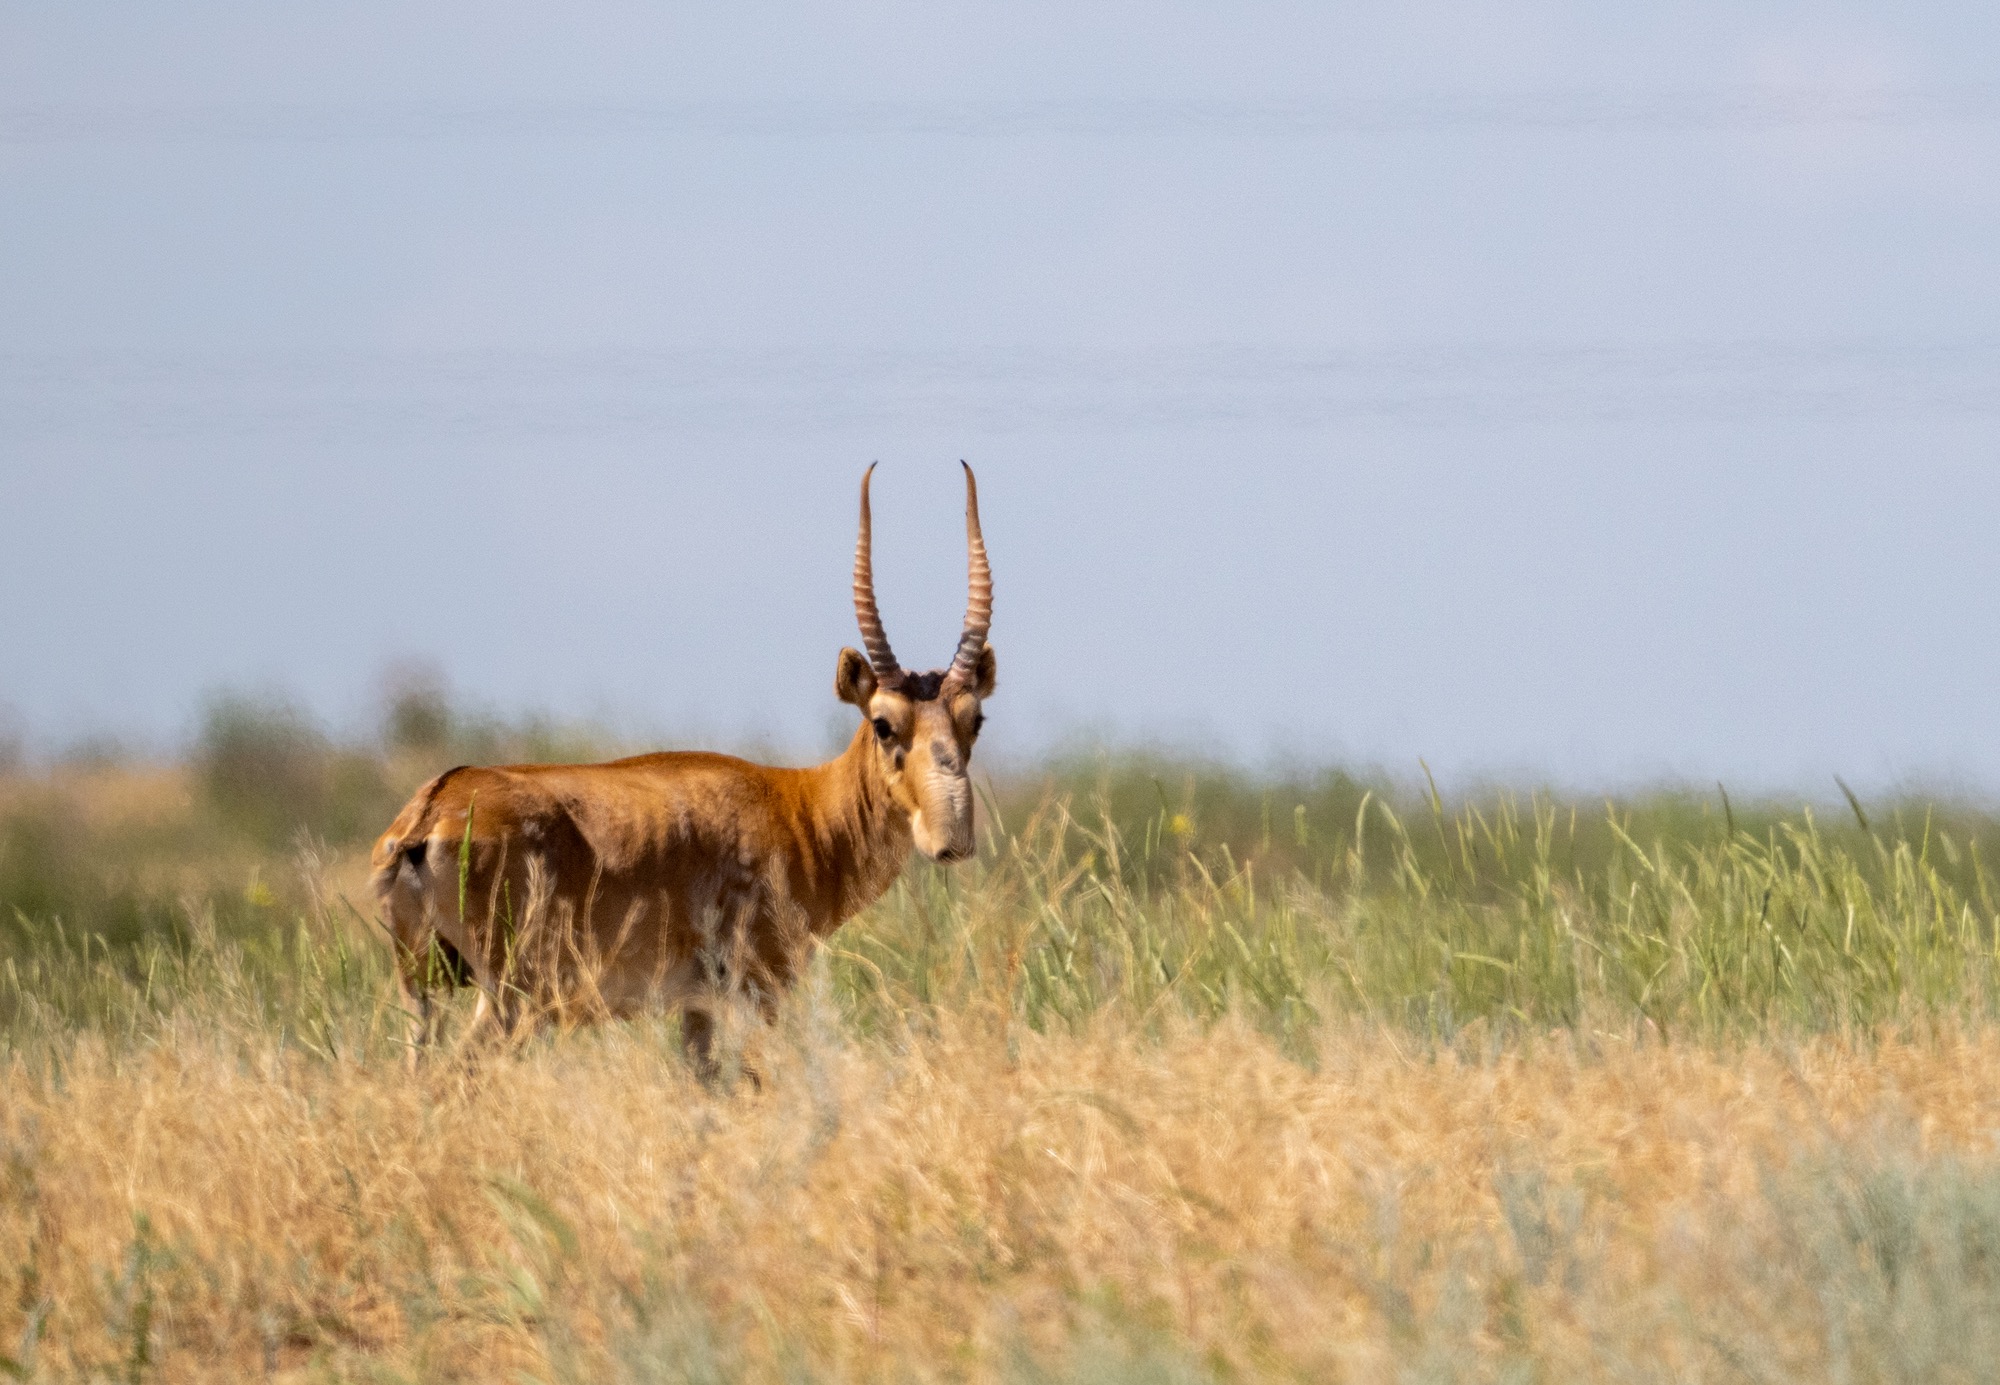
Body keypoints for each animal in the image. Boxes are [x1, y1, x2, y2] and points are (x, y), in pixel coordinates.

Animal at [369, 464, 996, 1071]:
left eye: (975, 719)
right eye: (884, 723)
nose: (951, 840)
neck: (802, 808)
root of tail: (430, 811)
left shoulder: (698, 1010)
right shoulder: (755, 991)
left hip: (422, 993)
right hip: (511, 999)